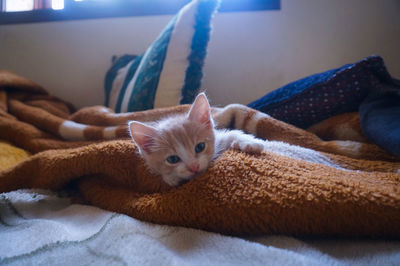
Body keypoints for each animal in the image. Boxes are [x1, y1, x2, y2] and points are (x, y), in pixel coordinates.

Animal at [129, 93, 266, 187]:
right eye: (172, 159)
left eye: (200, 147)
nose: (194, 167)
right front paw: (170, 178)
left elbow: (232, 134)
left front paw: (250, 143)